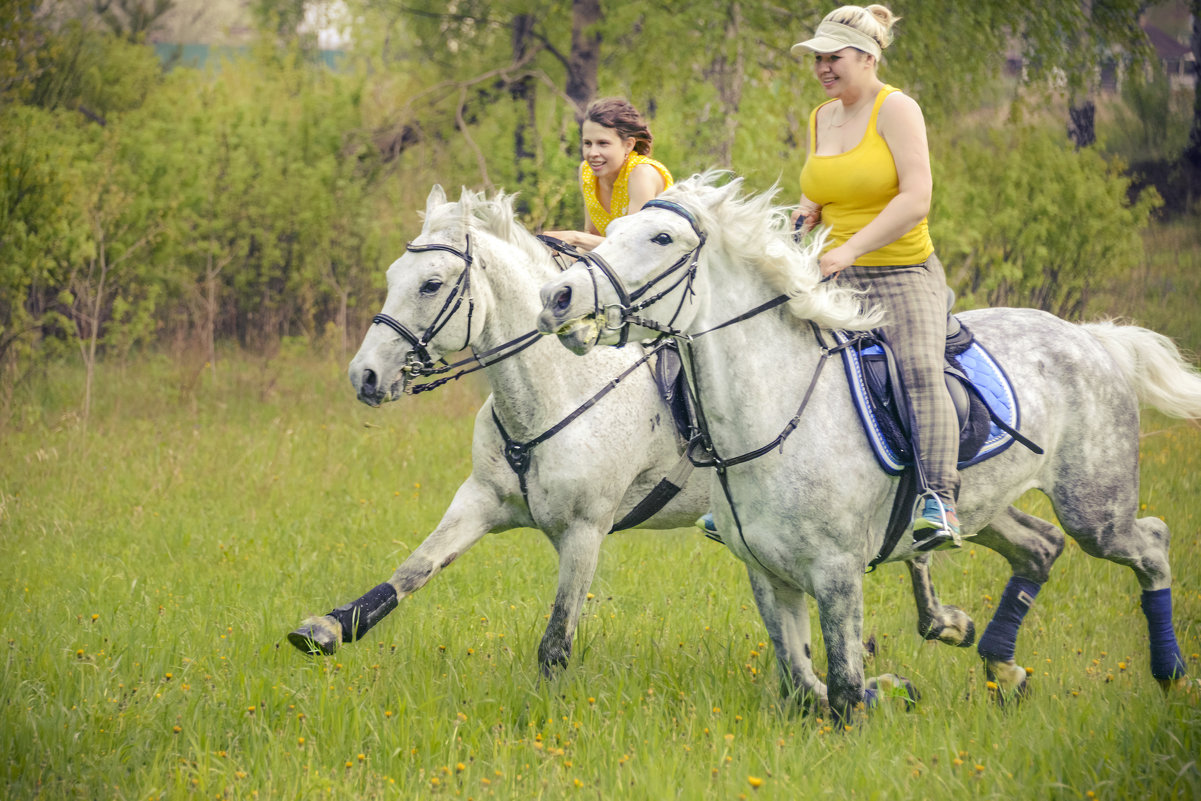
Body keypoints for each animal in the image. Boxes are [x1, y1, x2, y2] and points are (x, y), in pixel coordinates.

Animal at [288, 188, 975, 691]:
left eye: (431, 284)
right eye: (391, 275)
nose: (364, 376)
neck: (552, 390)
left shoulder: (584, 531)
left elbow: (557, 638)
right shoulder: (480, 499)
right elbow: (412, 571)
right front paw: (327, 629)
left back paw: (940, 619)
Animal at [540, 172, 1196, 715]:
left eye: (661, 238)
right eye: (612, 231)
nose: (558, 297)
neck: (774, 414)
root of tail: (1089, 337)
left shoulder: (836, 574)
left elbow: (845, 687)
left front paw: (878, 697)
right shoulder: (766, 573)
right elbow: (801, 680)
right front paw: (895, 687)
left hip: (1096, 508)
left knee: (1151, 544)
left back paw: (1170, 674)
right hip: (985, 508)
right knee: (1040, 547)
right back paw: (1003, 669)